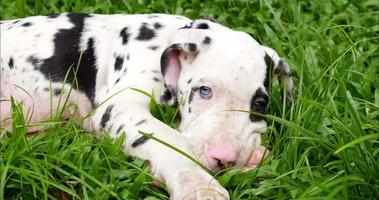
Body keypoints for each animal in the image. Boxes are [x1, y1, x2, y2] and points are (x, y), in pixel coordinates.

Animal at [0, 13, 294, 199]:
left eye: (260, 103)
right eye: (204, 91)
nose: (225, 158)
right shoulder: (119, 106)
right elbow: (171, 140)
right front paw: (199, 187)